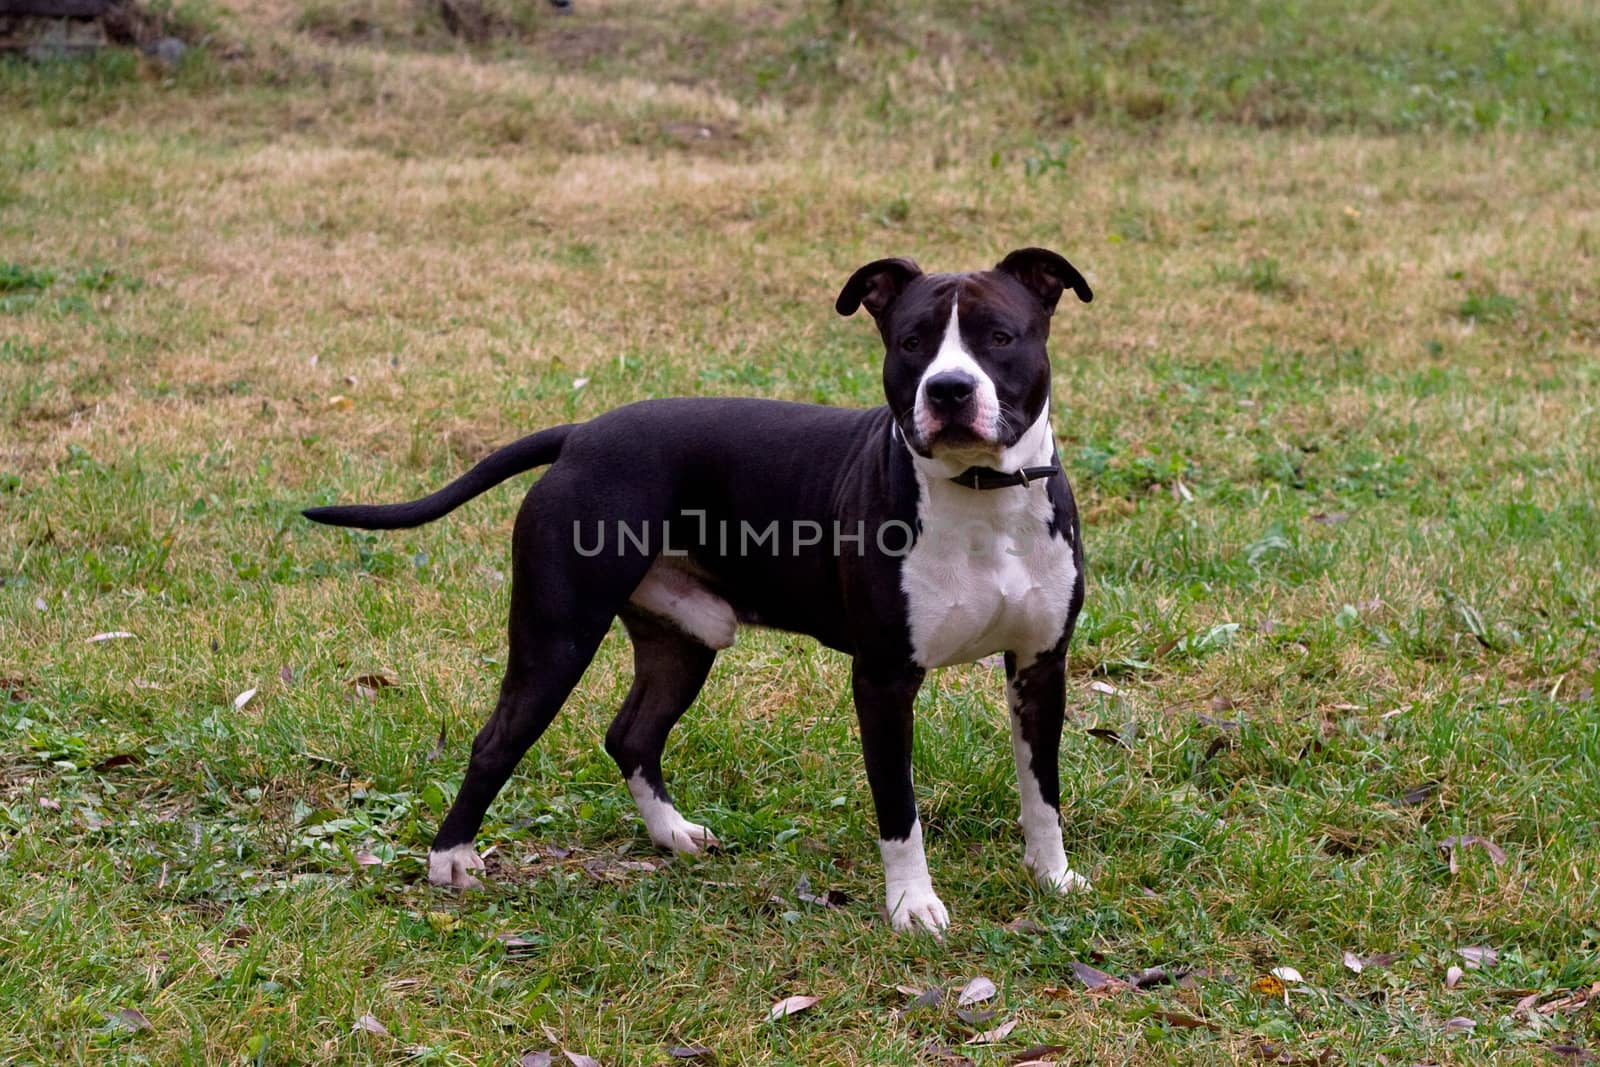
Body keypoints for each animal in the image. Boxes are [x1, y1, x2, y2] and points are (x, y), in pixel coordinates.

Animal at [305, 246, 1094, 927]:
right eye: (911, 343)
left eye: (1000, 337)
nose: (949, 388)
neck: (981, 497)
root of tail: (582, 433)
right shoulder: (884, 678)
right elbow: (899, 808)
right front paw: (912, 907)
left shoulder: (1039, 667)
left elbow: (1043, 790)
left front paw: (1052, 877)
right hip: (557, 637)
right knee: (496, 740)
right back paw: (452, 859)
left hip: (682, 638)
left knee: (630, 734)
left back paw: (672, 832)